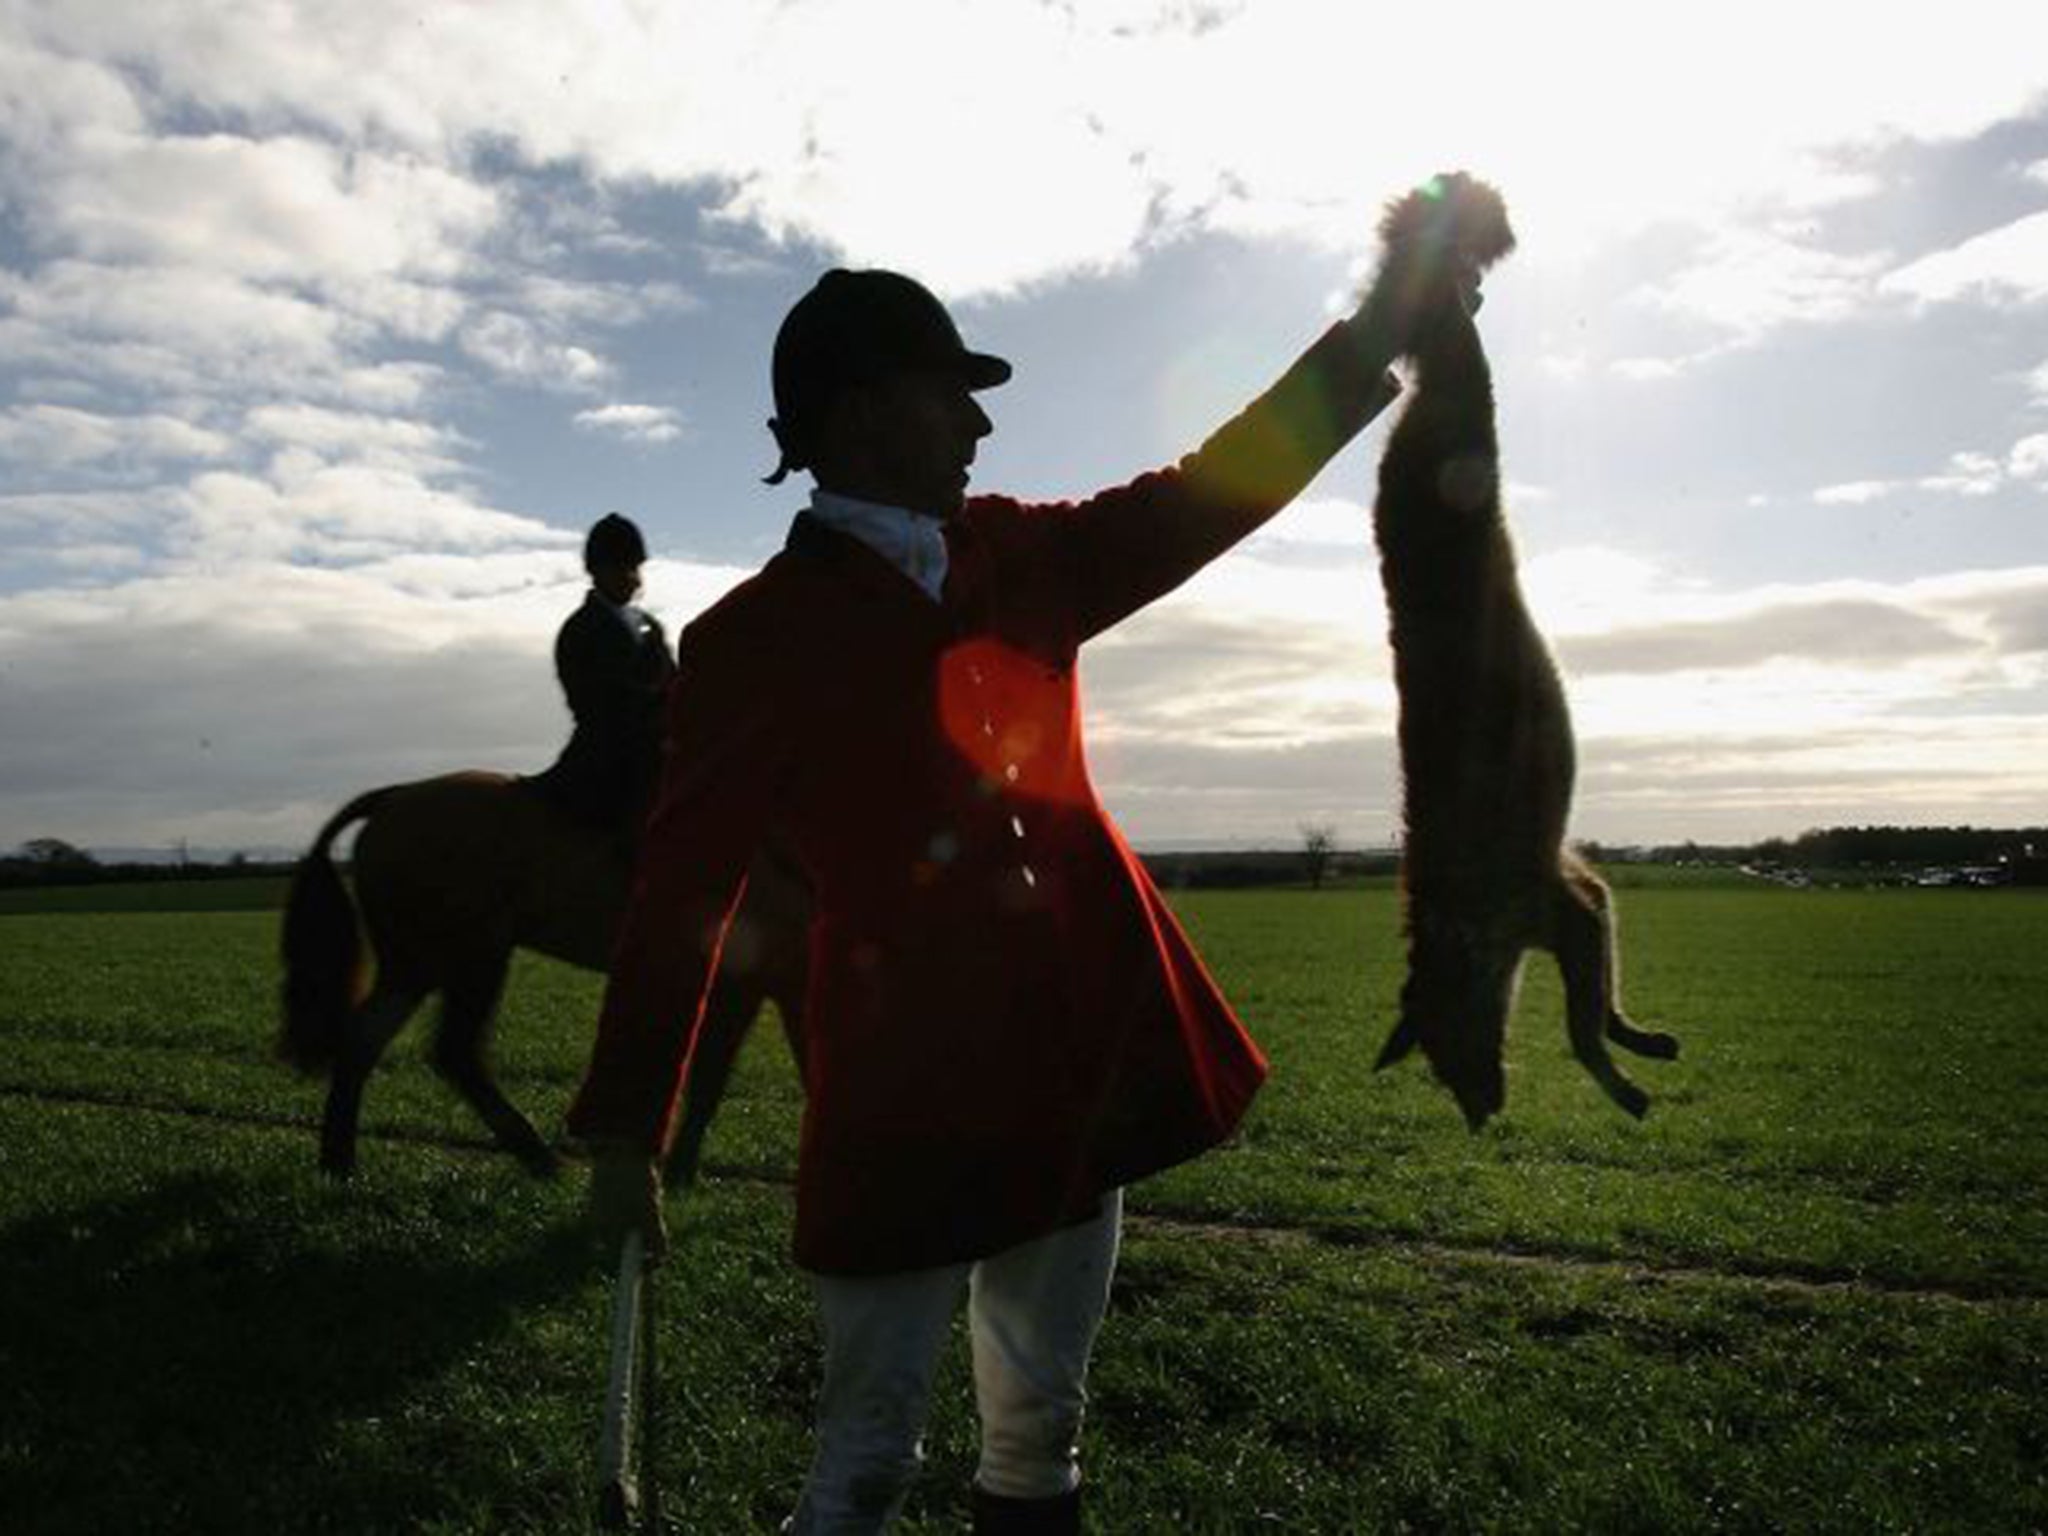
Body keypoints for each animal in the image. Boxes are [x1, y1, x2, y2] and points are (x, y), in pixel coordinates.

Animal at [280, 774, 806, 1187]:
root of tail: (394, 797)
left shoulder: (788, 986)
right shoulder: (743, 985)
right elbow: (711, 1081)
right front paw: (681, 1174)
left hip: (417, 964)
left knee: (365, 1040)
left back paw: (339, 1163)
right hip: (473, 956)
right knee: (455, 1052)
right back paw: (538, 1156)